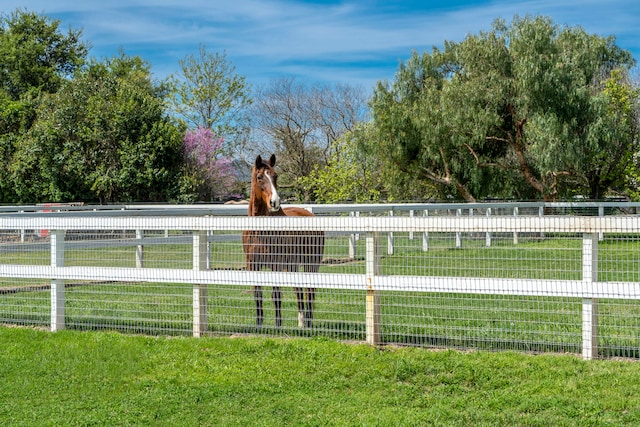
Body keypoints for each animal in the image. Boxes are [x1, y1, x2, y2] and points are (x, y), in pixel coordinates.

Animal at [244, 155, 328, 330]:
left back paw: (308, 322)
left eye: (275, 176)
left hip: (311, 263)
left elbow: (276, 294)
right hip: (293, 264)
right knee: (299, 289)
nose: (275, 202)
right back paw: (301, 321)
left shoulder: (275, 264)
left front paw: (278, 326)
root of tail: (309, 214)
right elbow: (257, 294)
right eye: (260, 177)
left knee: (310, 290)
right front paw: (259, 325)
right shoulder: (252, 264)